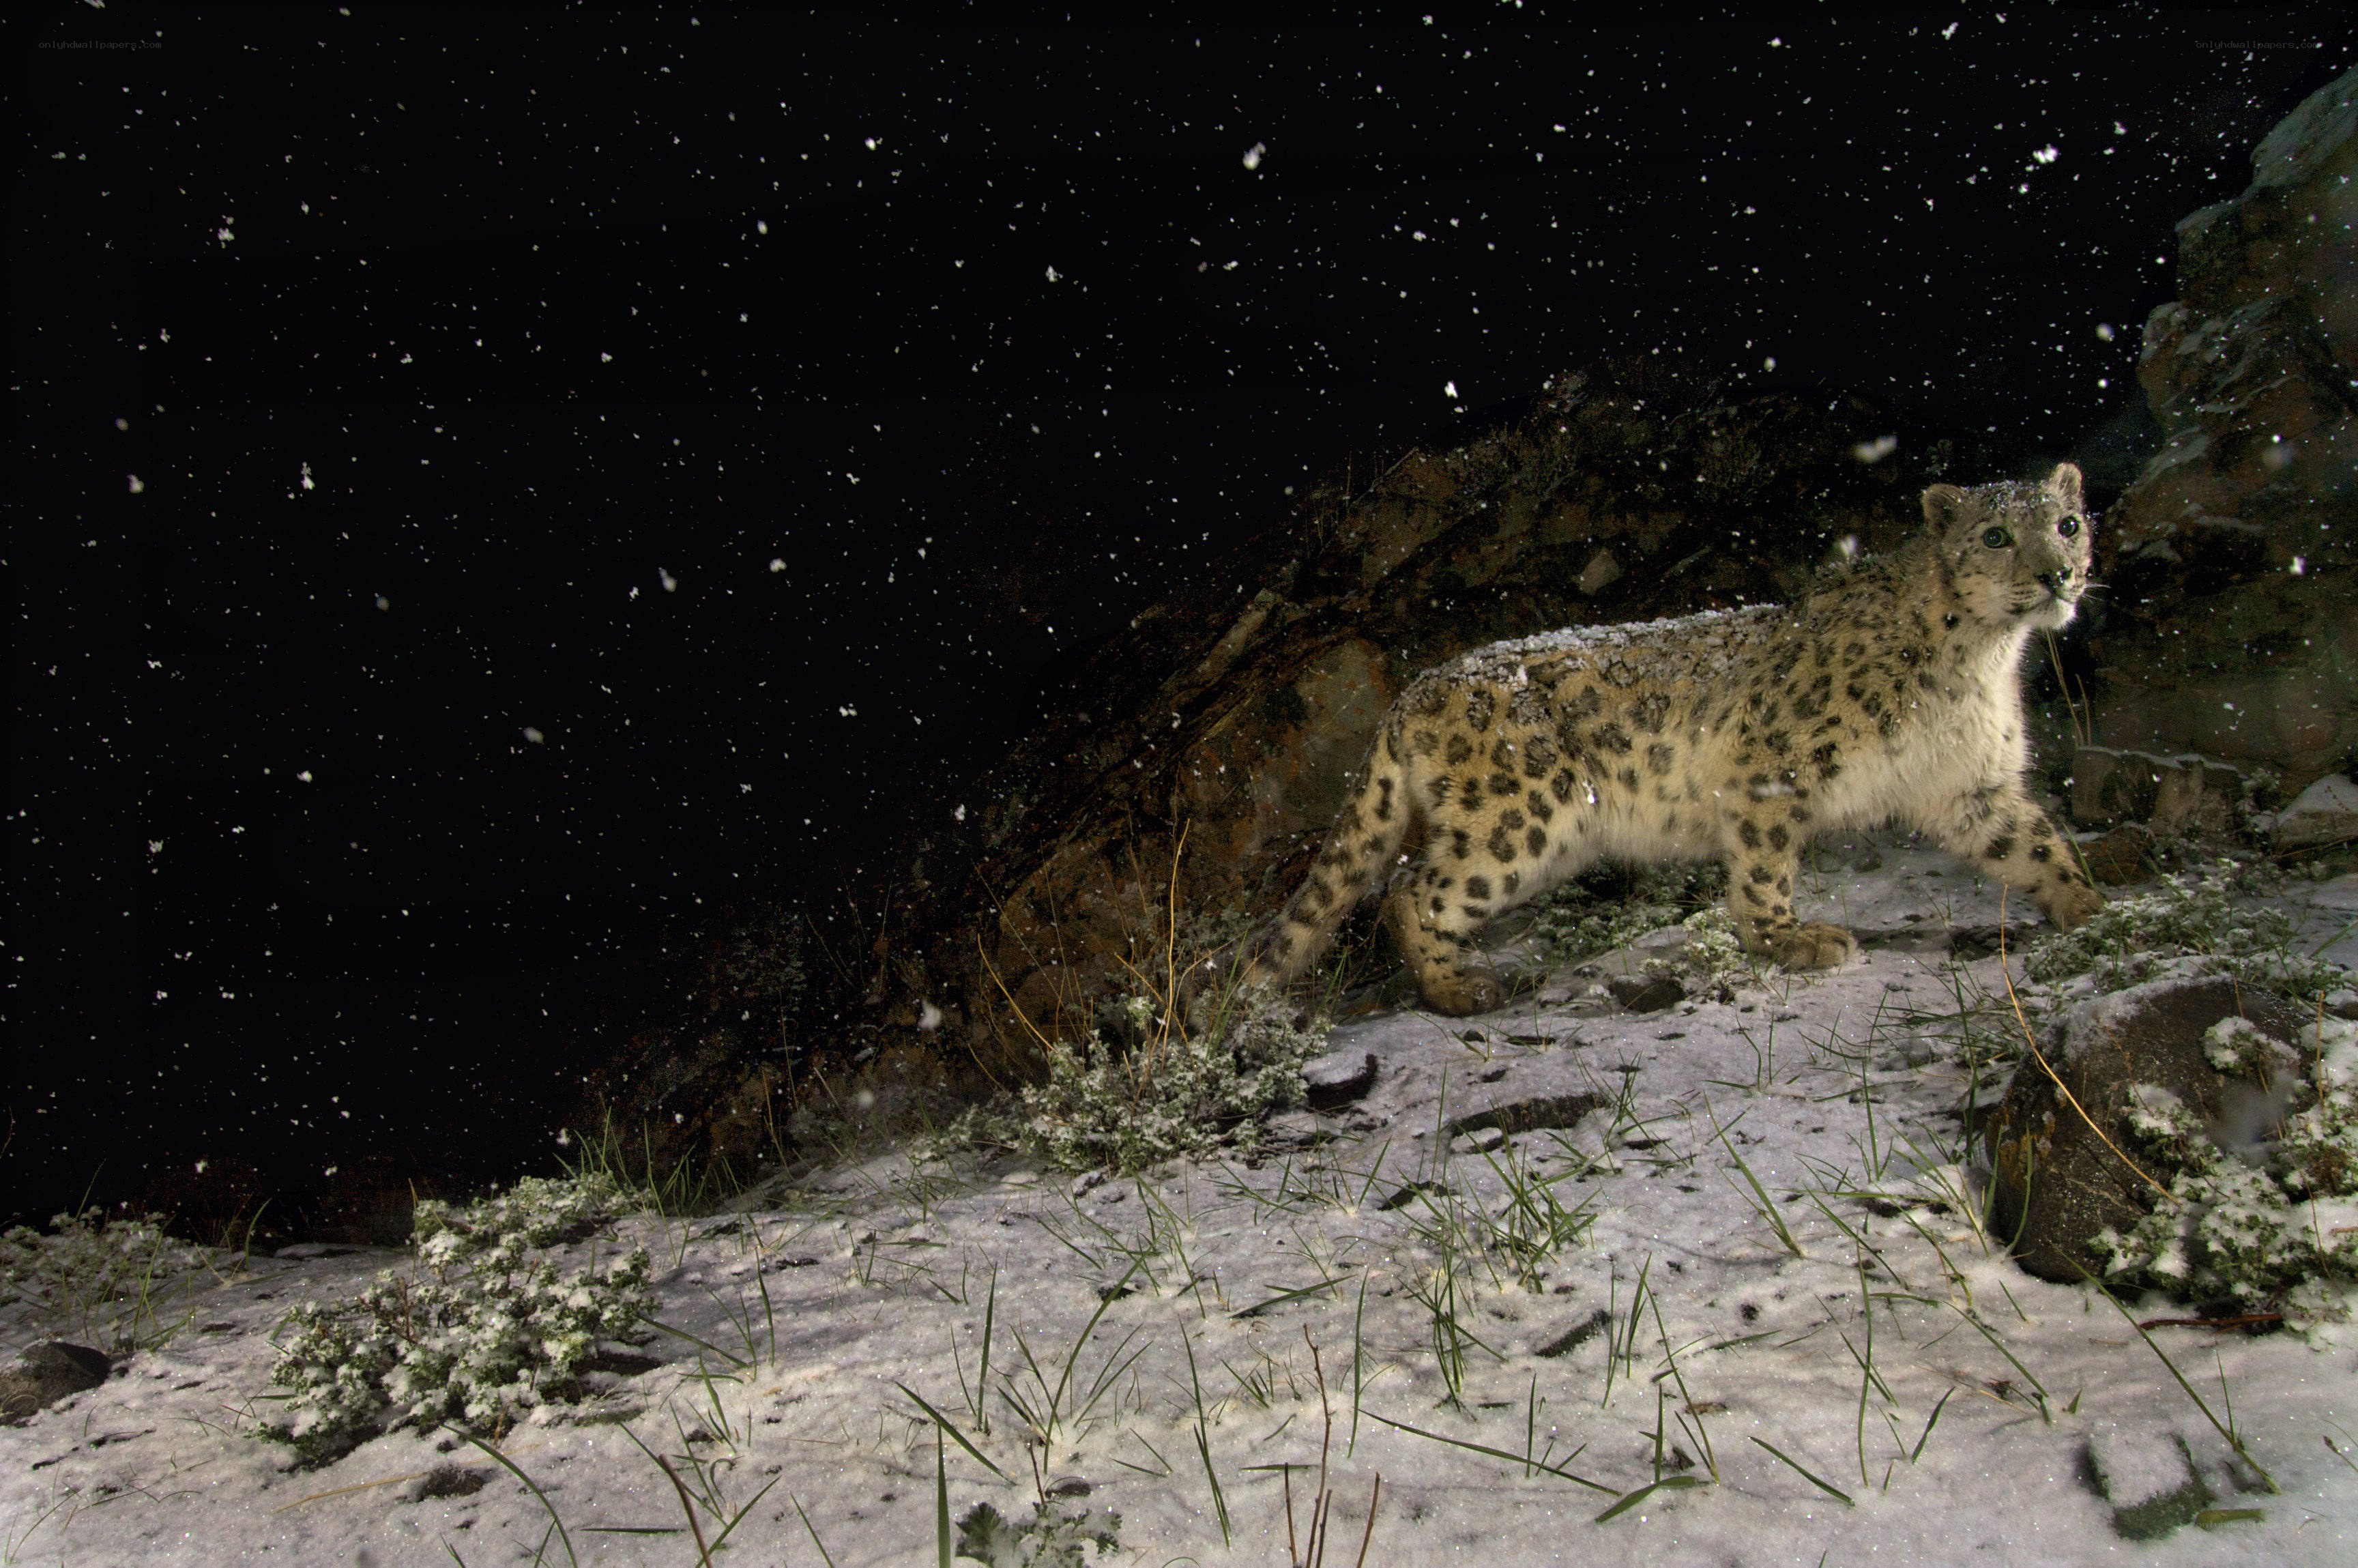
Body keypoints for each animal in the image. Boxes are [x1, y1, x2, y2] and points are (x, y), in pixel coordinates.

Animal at [1216, 462, 2105, 1017]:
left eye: (2068, 523)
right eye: (1996, 536)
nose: (2057, 573)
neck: (1981, 660)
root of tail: (1414, 690)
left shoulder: (1967, 786)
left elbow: (2035, 843)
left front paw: (2092, 909)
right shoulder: (1770, 770)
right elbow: (1763, 872)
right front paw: (1791, 941)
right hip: (1521, 823)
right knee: (1411, 889)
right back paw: (1458, 992)